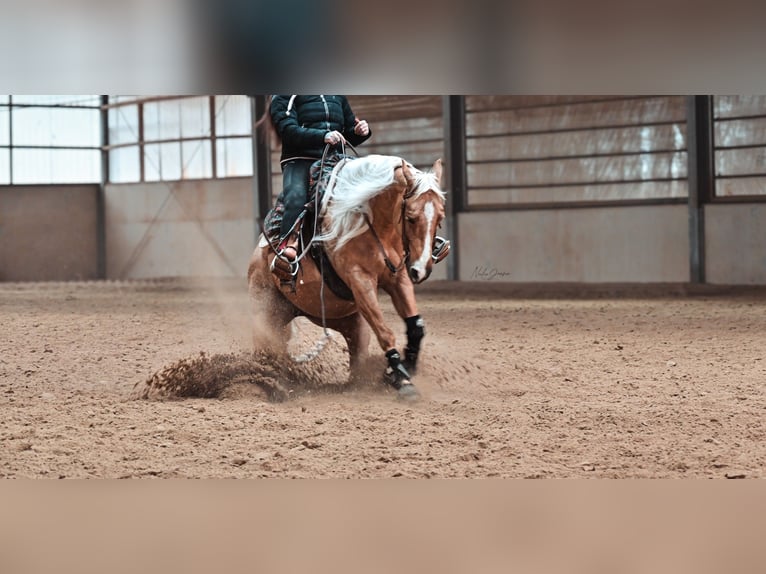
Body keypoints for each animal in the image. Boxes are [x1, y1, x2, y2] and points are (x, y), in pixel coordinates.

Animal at [246, 153, 448, 400]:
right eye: (410, 218)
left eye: (440, 218)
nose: (421, 269)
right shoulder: (361, 282)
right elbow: (384, 332)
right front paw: (402, 379)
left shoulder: (398, 278)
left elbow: (415, 326)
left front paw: (402, 367)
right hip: (264, 315)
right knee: (265, 351)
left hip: (346, 321)